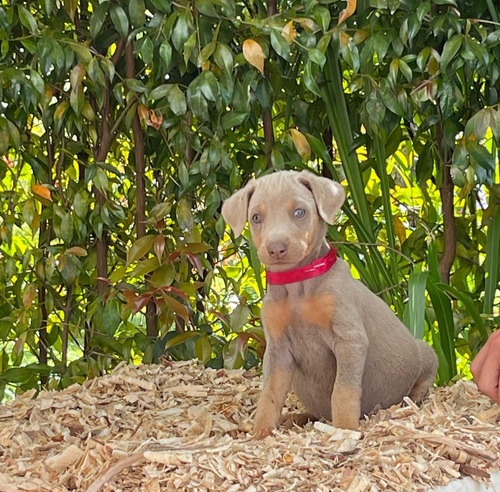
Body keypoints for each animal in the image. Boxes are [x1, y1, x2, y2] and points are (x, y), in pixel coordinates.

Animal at [223, 171, 438, 436]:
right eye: (255, 217)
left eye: (300, 212)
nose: (276, 249)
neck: (297, 284)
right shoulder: (277, 349)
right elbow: (270, 396)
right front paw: (260, 432)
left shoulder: (349, 339)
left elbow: (343, 391)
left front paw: (345, 430)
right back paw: (295, 417)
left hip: (426, 353)